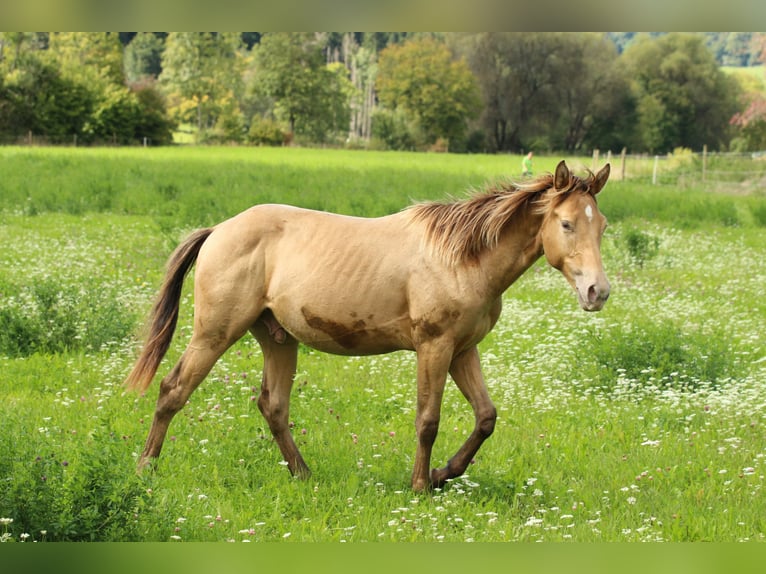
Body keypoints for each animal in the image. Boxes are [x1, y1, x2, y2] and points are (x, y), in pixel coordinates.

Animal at [125, 160, 611, 492]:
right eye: (566, 223)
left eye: (602, 226)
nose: (598, 292)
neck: (462, 257)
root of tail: (218, 230)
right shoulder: (435, 347)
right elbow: (428, 420)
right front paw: (420, 485)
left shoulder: (462, 350)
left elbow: (486, 417)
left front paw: (444, 474)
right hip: (215, 333)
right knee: (172, 391)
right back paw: (145, 468)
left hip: (278, 339)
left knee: (273, 407)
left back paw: (305, 475)